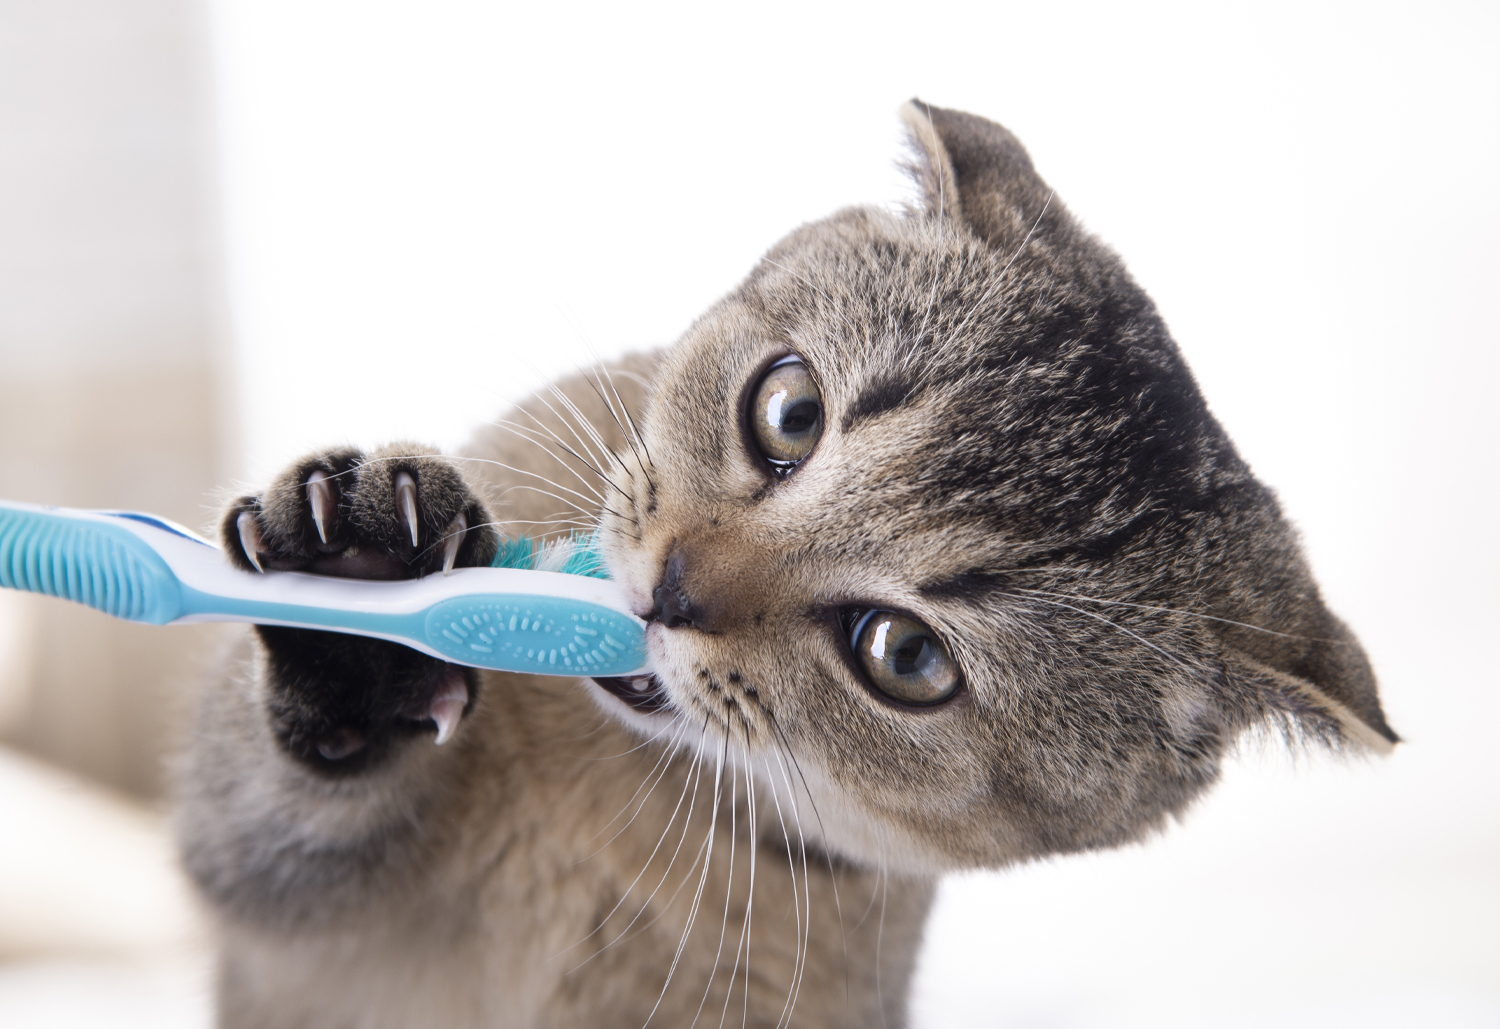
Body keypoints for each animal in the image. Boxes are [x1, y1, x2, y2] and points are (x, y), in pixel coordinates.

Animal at [175, 99, 1392, 1029]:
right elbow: (265, 809)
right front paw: (359, 586)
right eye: (791, 410)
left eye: (905, 655)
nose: (671, 589)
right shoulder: (273, 906)